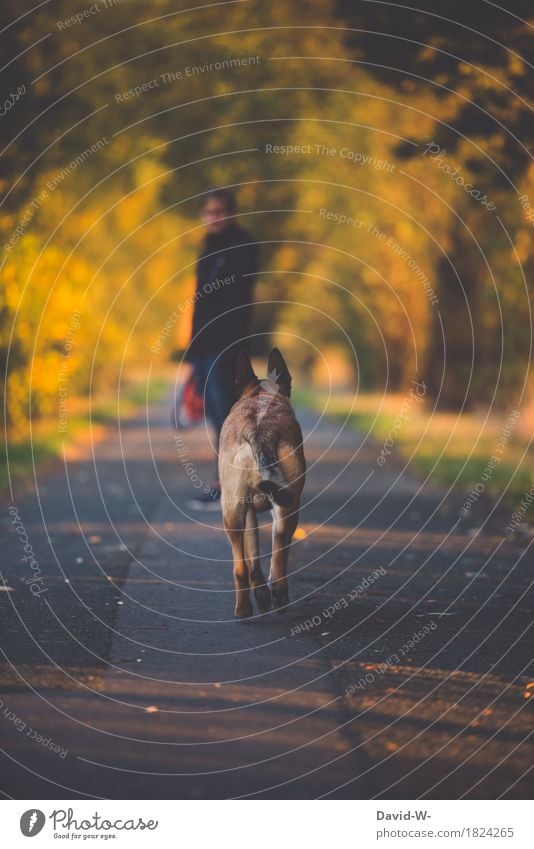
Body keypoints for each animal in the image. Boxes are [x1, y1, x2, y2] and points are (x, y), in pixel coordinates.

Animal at [220, 348, 308, 620]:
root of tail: (259, 430)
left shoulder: (247, 512)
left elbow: (253, 556)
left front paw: (260, 592)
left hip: (232, 509)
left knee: (240, 566)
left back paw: (244, 609)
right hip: (289, 506)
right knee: (280, 552)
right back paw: (278, 595)